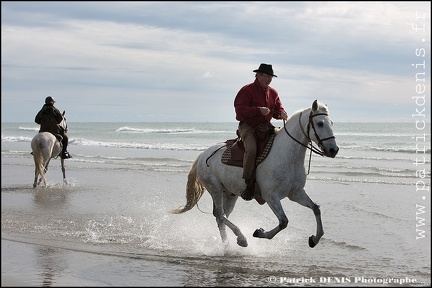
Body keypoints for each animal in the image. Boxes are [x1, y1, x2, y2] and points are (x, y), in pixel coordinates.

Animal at [171, 99, 338, 248]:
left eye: (331, 123)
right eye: (320, 123)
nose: (333, 150)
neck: (287, 155)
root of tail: (203, 155)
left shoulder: (296, 193)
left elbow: (316, 208)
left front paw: (314, 239)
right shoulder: (271, 196)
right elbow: (283, 222)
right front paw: (259, 232)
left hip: (230, 194)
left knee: (220, 218)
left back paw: (227, 245)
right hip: (215, 189)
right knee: (220, 215)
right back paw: (241, 239)